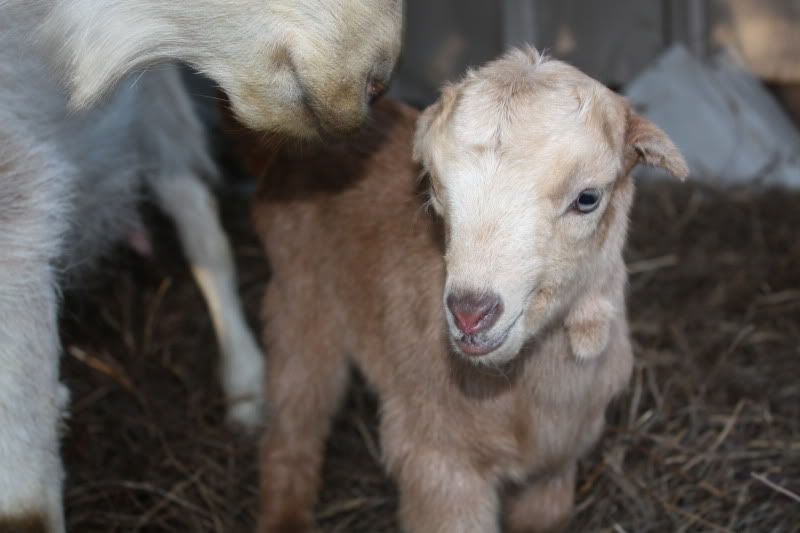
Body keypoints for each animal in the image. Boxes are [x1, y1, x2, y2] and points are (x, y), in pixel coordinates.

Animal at [250, 47, 688, 528]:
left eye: (588, 198)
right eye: (435, 188)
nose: (470, 313)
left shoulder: (552, 472)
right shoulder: (439, 465)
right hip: (298, 298)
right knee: (293, 425)